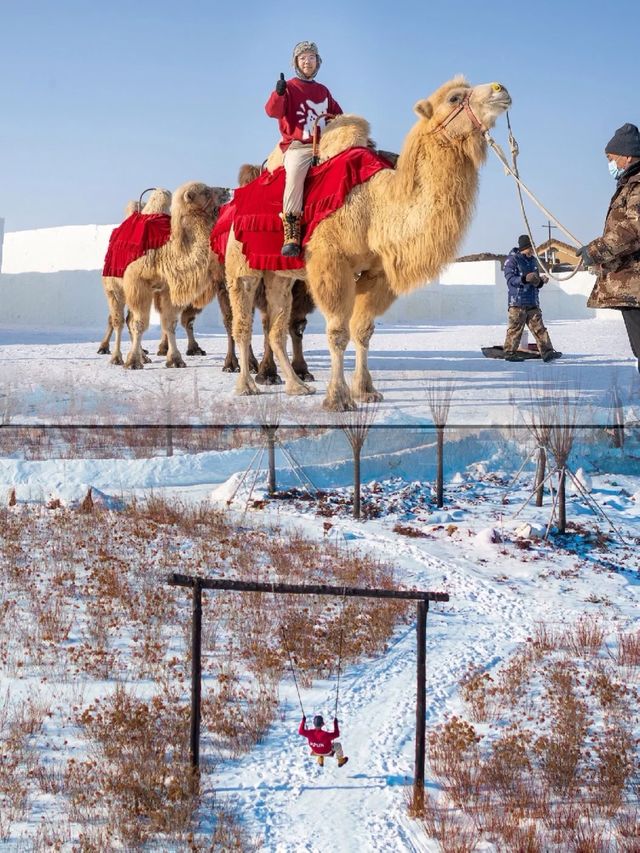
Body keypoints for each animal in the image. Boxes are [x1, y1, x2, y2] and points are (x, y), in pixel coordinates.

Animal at [225, 79, 510, 410]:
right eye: (454, 98)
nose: (500, 89)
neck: (375, 207)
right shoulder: (331, 263)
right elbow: (338, 332)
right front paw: (338, 399)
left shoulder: (377, 272)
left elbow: (363, 331)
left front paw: (366, 391)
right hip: (241, 266)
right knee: (242, 324)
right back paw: (246, 386)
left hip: (279, 275)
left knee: (276, 329)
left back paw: (297, 386)